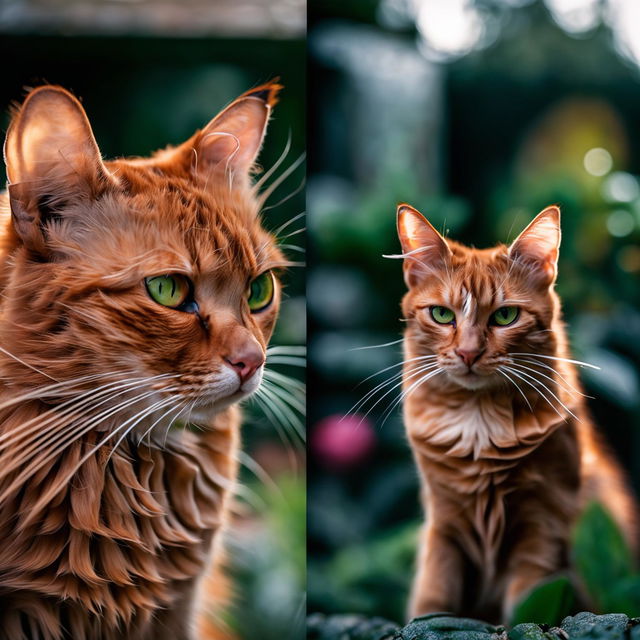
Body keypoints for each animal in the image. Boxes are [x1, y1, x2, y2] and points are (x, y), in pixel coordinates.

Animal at [398, 206, 636, 624]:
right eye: (442, 315)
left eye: (505, 316)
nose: (468, 353)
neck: (478, 425)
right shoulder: (444, 524)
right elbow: (434, 595)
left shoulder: (544, 527)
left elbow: (527, 603)